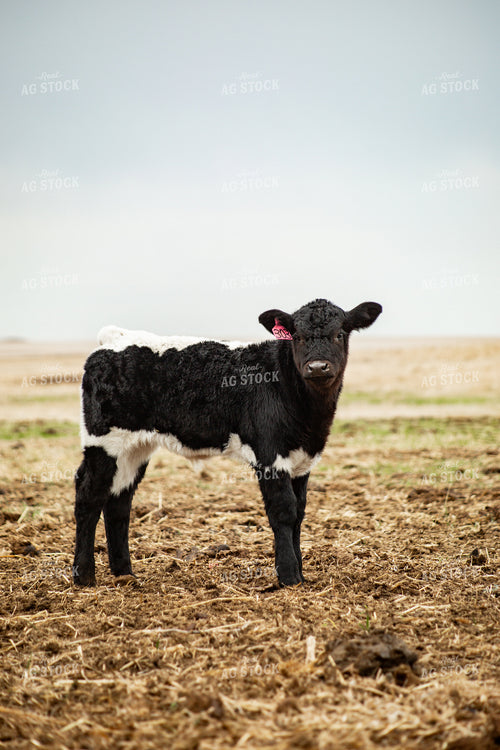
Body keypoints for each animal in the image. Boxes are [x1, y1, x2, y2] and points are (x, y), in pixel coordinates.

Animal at [73, 298, 382, 587]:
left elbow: (299, 513)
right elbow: (283, 511)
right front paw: (289, 576)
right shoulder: (269, 454)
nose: (317, 367)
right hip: (104, 441)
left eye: (340, 333)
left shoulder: (303, 459)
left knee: (119, 501)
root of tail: (114, 339)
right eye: (297, 335)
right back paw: (83, 575)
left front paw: (301, 574)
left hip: (135, 448)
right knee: (89, 495)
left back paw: (124, 573)